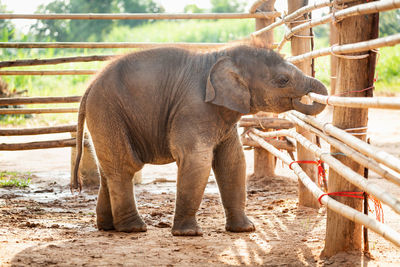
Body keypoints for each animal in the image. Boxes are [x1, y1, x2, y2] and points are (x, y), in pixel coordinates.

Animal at [72, 45, 328, 238]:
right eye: (283, 80)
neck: (221, 54)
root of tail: (88, 88)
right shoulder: (195, 107)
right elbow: (197, 160)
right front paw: (189, 234)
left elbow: (233, 162)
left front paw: (246, 230)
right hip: (108, 112)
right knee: (125, 166)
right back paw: (134, 228)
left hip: (104, 117)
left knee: (109, 170)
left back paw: (108, 227)